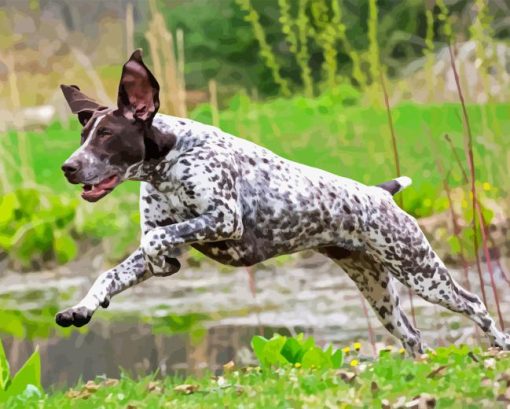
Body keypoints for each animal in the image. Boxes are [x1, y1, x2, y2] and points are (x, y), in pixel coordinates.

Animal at [56, 48, 510, 354]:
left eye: (107, 135)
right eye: (83, 136)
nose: (68, 167)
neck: (168, 161)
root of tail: (379, 192)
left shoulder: (224, 219)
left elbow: (155, 243)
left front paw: (161, 263)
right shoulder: (164, 236)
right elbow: (110, 274)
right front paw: (83, 308)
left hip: (422, 273)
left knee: (476, 305)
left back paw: (500, 345)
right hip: (378, 289)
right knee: (414, 337)